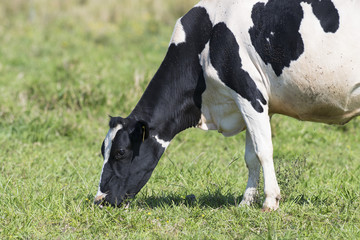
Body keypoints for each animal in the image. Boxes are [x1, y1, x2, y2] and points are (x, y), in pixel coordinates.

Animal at [93, 0, 360, 210]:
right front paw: (246, 202)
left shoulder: (249, 94)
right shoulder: (254, 104)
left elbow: (264, 150)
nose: (99, 200)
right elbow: (251, 156)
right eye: (102, 151)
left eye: (120, 152)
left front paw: (270, 201)